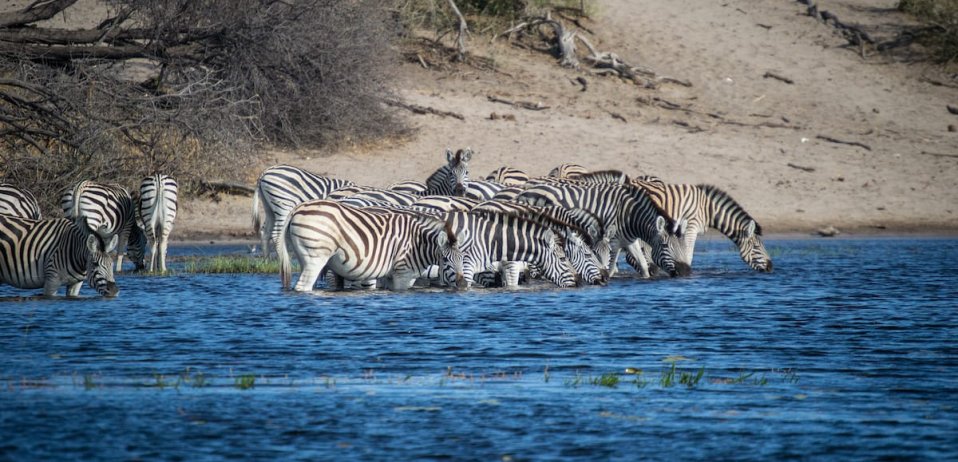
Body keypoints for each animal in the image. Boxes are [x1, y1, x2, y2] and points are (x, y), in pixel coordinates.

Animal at [276, 199, 466, 292]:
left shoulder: (392, 275)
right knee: (303, 286)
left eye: (462, 259)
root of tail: (299, 206)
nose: (463, 284)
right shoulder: (403, 274)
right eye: (445, 259)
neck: (417, 244)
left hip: (303, 256)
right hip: (316, 258)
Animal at [516, 182, 688, 278]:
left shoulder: (628, 240)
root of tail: (524, 191)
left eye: (682, 246)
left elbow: (642, 264)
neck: (629, 215)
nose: (685, 272)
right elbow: (610, 266)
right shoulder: (613, 240)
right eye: (665, 246)